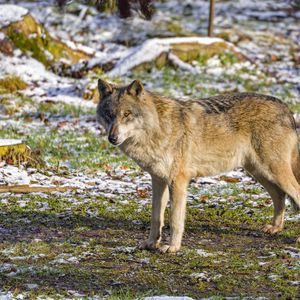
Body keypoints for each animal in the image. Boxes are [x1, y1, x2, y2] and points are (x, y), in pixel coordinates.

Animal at [96, 78, 300, 252]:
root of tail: (285, 107)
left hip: (273, 171)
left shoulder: (177, 181)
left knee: (294, 192)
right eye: (109, 115)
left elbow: (175, 220)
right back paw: (275, 227)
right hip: (259, 172)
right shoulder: (158, 180)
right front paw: (150, 243)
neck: (157, 128)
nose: (112, 138)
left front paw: (172, 247)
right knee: (280, 196)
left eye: (127, 114)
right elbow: (156, 218)